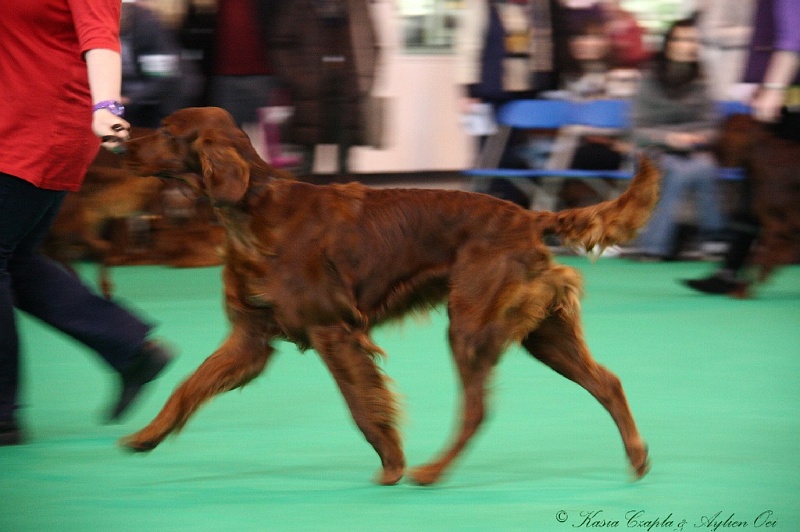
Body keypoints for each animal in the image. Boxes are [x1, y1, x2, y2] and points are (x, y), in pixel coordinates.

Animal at [119, 107, 656, 486]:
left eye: (166, 130)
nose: (120, 140)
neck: (253, 210)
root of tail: (529, 217)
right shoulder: (250, 340)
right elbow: (188, 386)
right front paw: (146, 436)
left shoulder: (333, 332)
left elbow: (361, 405)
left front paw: (392, 463)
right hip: (543, 332)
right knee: (607, 382)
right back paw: (636, 456)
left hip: (471, 325)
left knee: (478, 409)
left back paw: (431, 471)